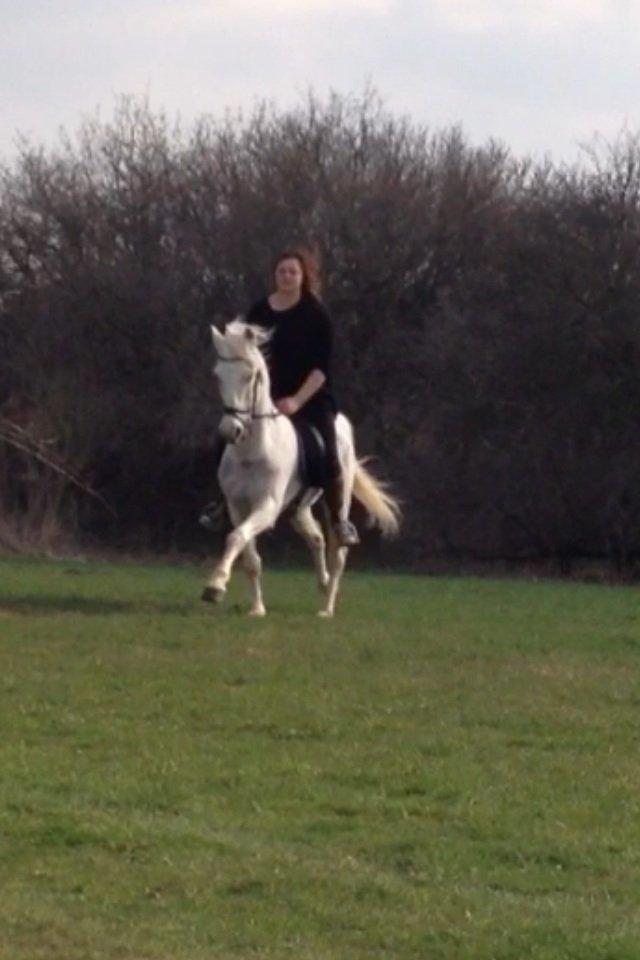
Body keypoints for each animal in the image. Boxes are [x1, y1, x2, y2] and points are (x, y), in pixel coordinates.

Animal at [201, 320, 400, 617]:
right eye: (218, 376)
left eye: (250, 376)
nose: (230, 430)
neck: (254, 450)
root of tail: (342, 425)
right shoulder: (238, 507)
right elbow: (250, 556)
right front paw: (256, 609)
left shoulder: (267, 506)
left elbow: (236, 538)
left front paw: (214, 587)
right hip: (300, 505)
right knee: (316, 537)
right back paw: (323, 584)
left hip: (338, 500)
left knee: (337, 551)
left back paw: (327, 609)